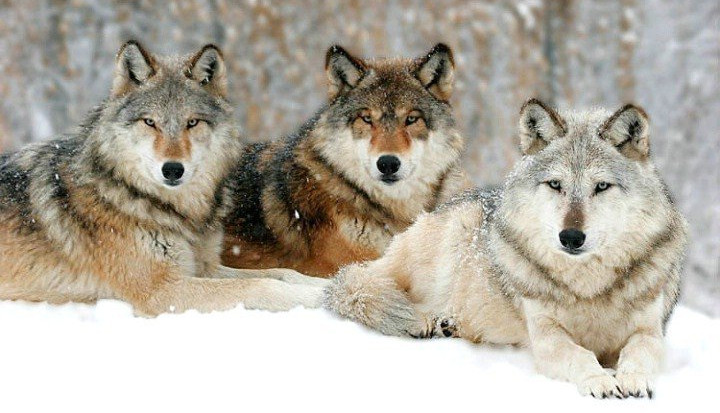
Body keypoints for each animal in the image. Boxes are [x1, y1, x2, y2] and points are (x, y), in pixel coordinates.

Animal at [0, 41, 327, 316]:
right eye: (150, 122)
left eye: (192, 122)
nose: (172, 169)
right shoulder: (162, 290)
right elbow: (262, 285)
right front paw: (319, 298)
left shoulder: (204, 267)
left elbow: (284, 273)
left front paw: (328, 283)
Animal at [325, 99, 688, 399]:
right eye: (555, 184)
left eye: (601, 186)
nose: (571, 237)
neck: (587, 287)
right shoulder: (545, 335)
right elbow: (580, 355)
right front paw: (599, 380)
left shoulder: (649, 331)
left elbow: (638, 354)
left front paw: (633, 379)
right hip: (449, 238)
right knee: (370, 286)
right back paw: (425, 320)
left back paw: (447, 325)